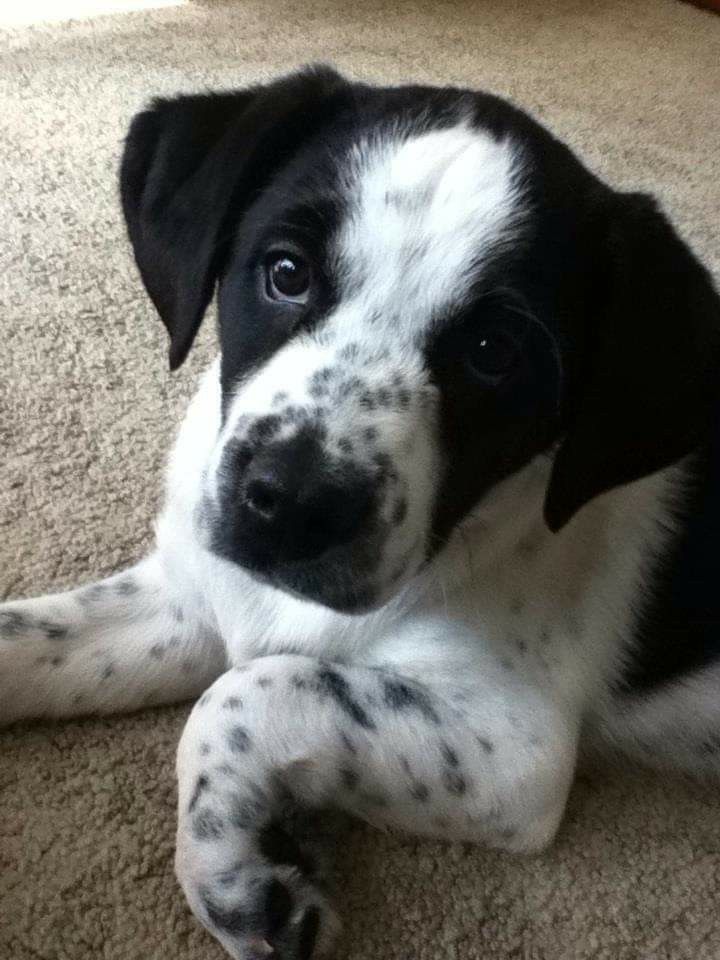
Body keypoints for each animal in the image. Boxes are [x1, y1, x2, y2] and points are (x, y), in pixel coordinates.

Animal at [4, 67, 720, 960]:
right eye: (286, 271)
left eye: (494, 353)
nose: (291, 505)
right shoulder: (192, 598)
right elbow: (30, 637)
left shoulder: (513, 751)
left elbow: (247, 692)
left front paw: (237, 876)